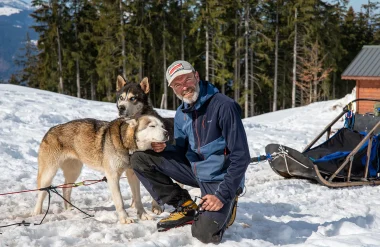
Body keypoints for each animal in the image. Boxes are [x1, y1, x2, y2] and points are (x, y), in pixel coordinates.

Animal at [32, 116, 169, 224]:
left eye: (162, 126)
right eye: (152, 125)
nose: (167, 133)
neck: (126, 144)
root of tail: (50, 130)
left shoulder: (132, 175)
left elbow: (138, 199)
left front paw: (143, 215)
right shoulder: (112, 176)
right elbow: (119, 201)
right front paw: (124, 218)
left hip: (74, 171)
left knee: (66, 188)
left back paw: (69, 209)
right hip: (49, 173)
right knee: (42, 192)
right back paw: (37, 213)